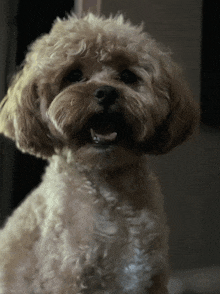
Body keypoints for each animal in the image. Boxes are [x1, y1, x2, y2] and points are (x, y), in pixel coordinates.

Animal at [0, 13, 199, 292]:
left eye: (127, 76)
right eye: (74, 75)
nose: (106, 92)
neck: (111, 191)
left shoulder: (153, 277)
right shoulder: (65, 277)